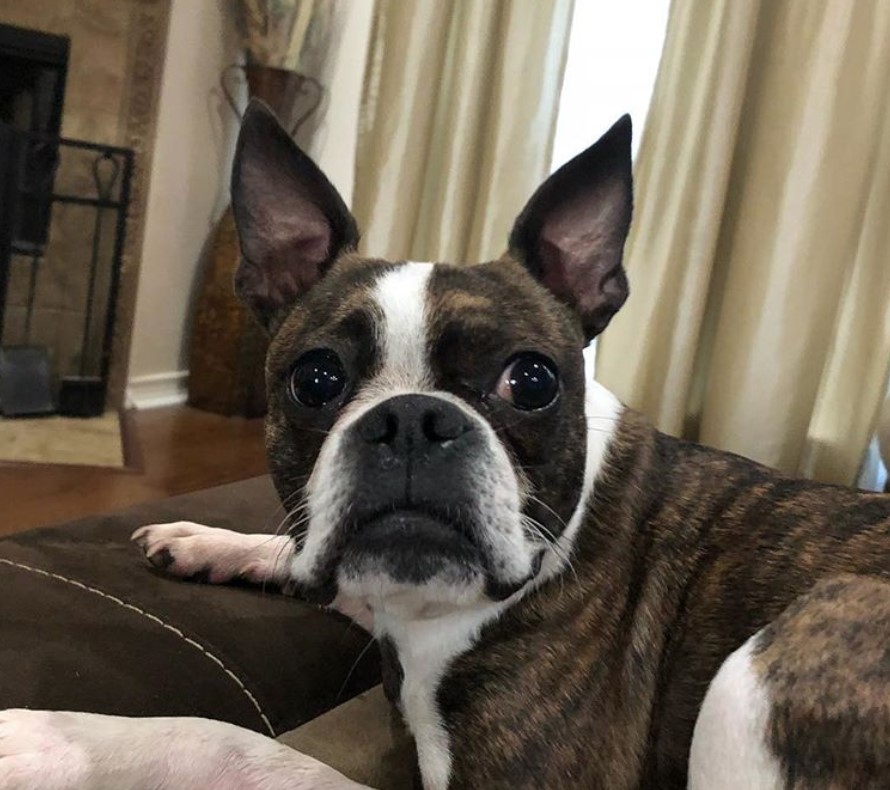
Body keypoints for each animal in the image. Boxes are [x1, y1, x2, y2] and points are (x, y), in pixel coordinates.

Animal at [1, 102, 888, 788]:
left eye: (533, 380)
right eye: (315, 378)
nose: (412, 421)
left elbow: (234, 742)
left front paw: (43, 738)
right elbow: (316, 568)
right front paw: (211, 542)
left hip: (772, 661)